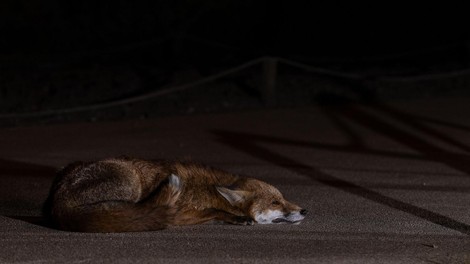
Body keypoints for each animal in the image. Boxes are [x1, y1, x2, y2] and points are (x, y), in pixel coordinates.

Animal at [43, 157, 308, 233]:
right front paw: (237, 219)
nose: (305, 210)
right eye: (275, 202)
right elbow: (215, 212)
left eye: (283, 198)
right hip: (131, 180)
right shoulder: (179, 213)